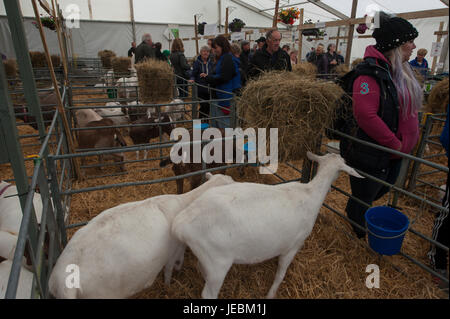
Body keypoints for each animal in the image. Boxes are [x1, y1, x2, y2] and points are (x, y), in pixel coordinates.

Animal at [171, 152, 364, 300]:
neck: (310, 193)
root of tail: (181, 222)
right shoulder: (293, 245)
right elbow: (280, 274)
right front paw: (271, 294)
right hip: (218, 261)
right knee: (208, 294)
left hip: (208, 258)